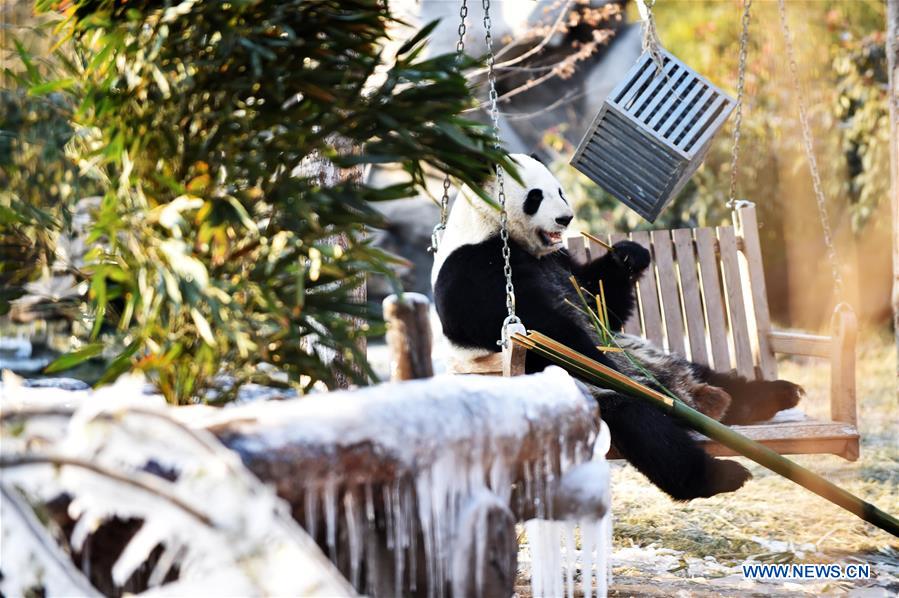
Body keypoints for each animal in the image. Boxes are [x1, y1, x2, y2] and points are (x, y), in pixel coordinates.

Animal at [432, 153, 804, 500]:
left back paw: (770, 395)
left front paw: (628, 254)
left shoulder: (560, 262)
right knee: (643, 425)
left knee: (706, 374)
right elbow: (546, 331)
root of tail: (685, 393)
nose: (565, 219)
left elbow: (599, 299)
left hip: (644, 352)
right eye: (535, 196)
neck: (498, 232)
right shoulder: (474, 269)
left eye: (560, 190)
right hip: (584, 392)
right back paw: (719, 471)